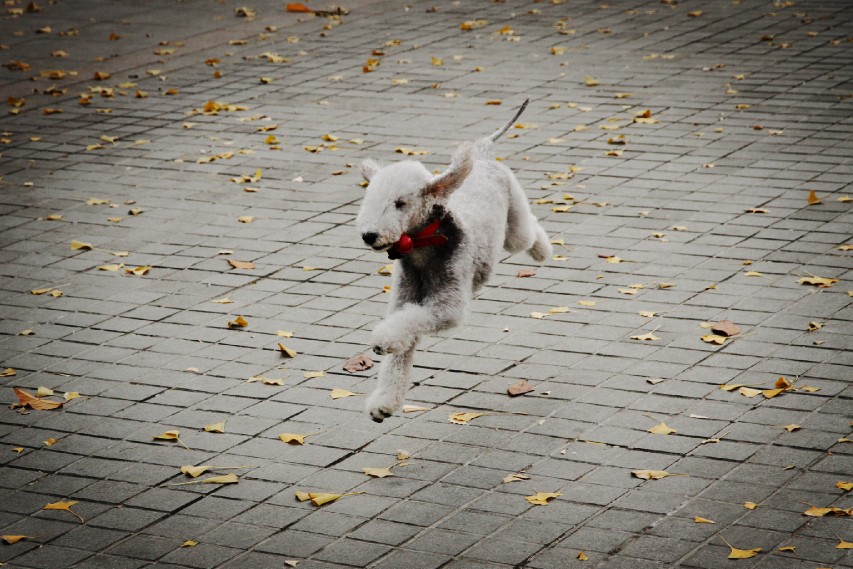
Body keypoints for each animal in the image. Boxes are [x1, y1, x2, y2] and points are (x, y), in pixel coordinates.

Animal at [354, 97, 548, 420]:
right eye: (369, 200)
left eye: (400, 203)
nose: (369, 235)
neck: (422, 246)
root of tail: (481, 153)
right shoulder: (403, 301)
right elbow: (398, 359)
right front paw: (384, 403)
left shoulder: (446, 306)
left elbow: (410, 323)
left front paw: (382, 340)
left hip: (515, 219)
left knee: (528, 230)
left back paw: (543, 250)